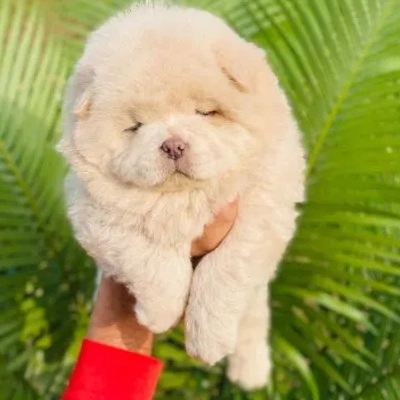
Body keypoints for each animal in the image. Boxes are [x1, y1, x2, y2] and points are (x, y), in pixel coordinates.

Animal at [56, 1, 304, 390]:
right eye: (135, 126)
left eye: (205, 112)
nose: (173, 144)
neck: (183, 197)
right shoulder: (96, 213)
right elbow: (147, 258)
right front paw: (159, 314)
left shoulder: (261, 212)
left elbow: (223, 269)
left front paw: (207, 341)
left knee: (253, 319)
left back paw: (250, 373)